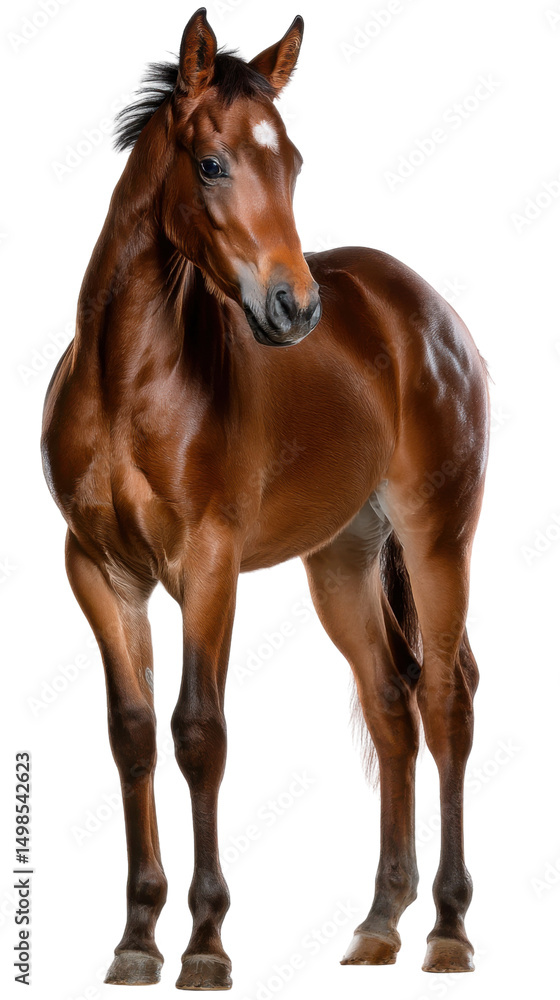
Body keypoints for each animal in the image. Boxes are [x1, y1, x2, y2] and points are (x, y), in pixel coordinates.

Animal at [41, 8, 490, 990]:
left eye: (293, 162)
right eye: (211, 164)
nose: (294, 309)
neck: (127, 383)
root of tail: (430, 315)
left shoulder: (208, 566)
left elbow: (199, 732)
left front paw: (206, 945)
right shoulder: (99, 570)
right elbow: (133, 731)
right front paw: (137, 940)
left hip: (438, 540)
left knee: (445, 701)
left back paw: (447, 928)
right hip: (343, 563)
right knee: (390, 706)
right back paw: (379, 924)